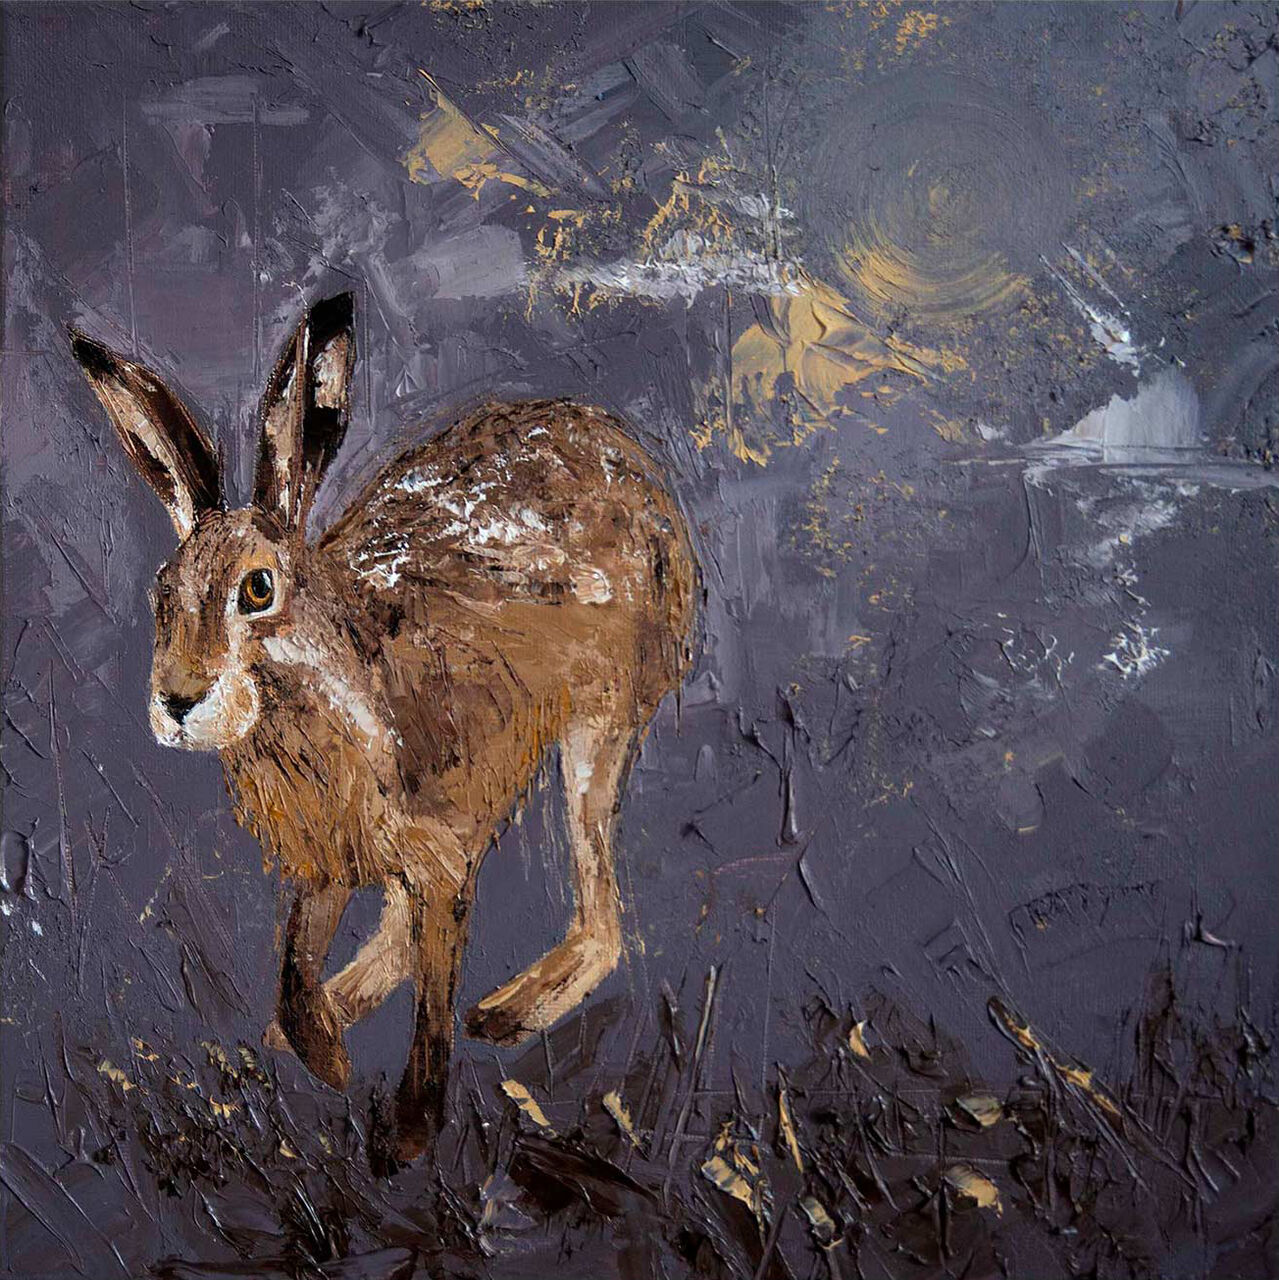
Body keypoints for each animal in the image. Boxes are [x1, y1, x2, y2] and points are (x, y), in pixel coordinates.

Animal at [69, 292, 697, 1162]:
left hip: (599, 722)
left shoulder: (434, 850)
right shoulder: (326, 860)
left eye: (257, 590)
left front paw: (408, 1130)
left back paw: (515, 1007)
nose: (179, 700)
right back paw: (341, 1005)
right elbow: (293, 968)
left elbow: (432, 995)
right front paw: (323, 1051)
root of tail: (626, 450)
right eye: (162, 591)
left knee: (598, 901)